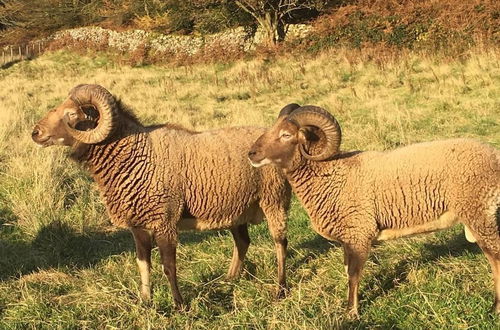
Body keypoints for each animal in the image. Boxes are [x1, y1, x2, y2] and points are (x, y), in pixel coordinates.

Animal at [31, 84, 292, 306]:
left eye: (71, 114)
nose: (35, 132)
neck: (138, 153)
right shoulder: (138, 225)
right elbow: (143, 263)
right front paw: (146, 300)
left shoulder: (165, 221)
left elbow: (168, 265)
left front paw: (179, 305)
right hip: (237, 209)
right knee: (242, 242)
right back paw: (229, 279)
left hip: (274, 199)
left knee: (280, 243)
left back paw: (280, 289)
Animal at [250, 104, 500, 316]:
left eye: (286, 135)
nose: (251, 154)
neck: (331, 172)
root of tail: (494, 155)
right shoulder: (348, 237)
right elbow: (347, 271)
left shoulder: (359, 232)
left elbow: (353, 275)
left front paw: (351, 313)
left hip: (480, 214)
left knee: (495, 257)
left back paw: (495, 308)